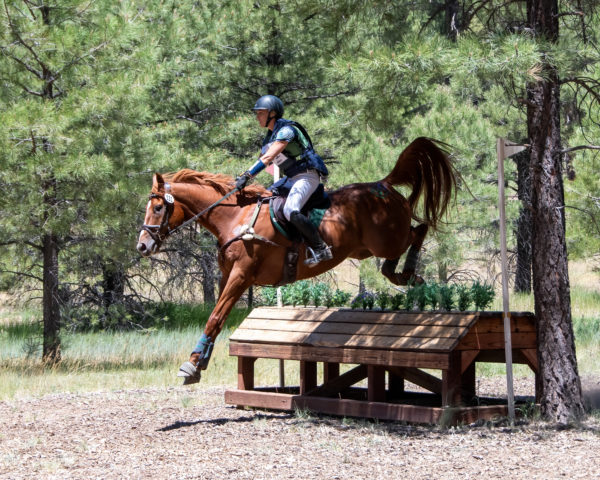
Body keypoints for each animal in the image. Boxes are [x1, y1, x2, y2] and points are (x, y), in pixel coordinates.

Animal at [137, 137, 454, 384]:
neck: (234, 217)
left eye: (157, 208)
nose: (142, 246)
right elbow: (217, 315)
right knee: (399, 252)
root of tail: (384, 184)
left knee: (419, 229)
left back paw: (410, 271)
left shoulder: (242, 274)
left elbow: (215, 316)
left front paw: (191, 365)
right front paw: (199, 361)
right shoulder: (229, 275)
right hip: (367, 248)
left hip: (387, 239)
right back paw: (405, 275)